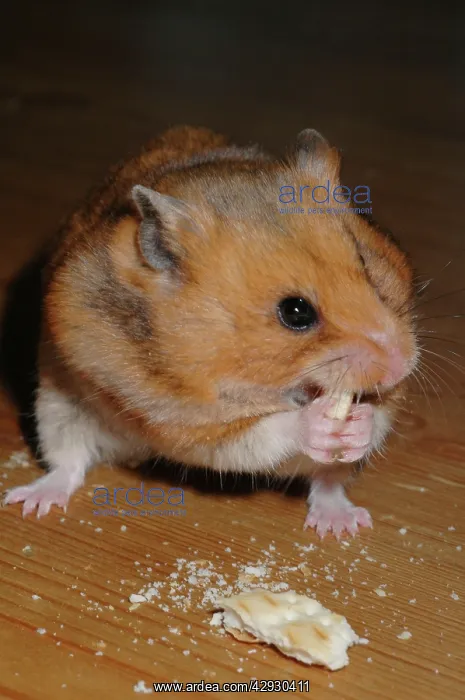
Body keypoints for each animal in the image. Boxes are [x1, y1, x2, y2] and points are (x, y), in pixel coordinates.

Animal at [4, 125, 418, 537]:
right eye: (295, 312)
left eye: (366, 265)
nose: (403, 365)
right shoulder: (183, 419)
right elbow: (262, 434)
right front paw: (317, 422)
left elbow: (377, 418)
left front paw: (359, 424)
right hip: (57, 405)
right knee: (67, 463)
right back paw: (30, 502)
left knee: (328, 481)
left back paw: (341, 525)